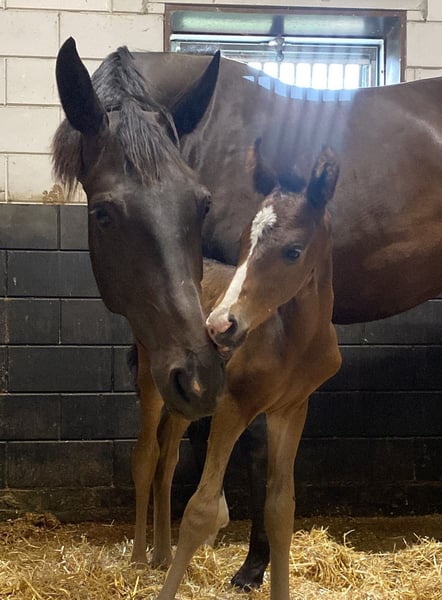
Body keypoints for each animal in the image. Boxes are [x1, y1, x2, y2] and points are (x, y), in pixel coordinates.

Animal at [152, 143, 341, 600]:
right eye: (242, 242)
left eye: (293, 250)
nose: (220, 326)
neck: (293, 341)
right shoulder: (234, 406)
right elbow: (200, 508)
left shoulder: (290, 410)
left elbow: (280, 510)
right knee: (147, 455)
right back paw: (144, 555)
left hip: (185, 401)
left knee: (167, 459)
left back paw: (161, 553)